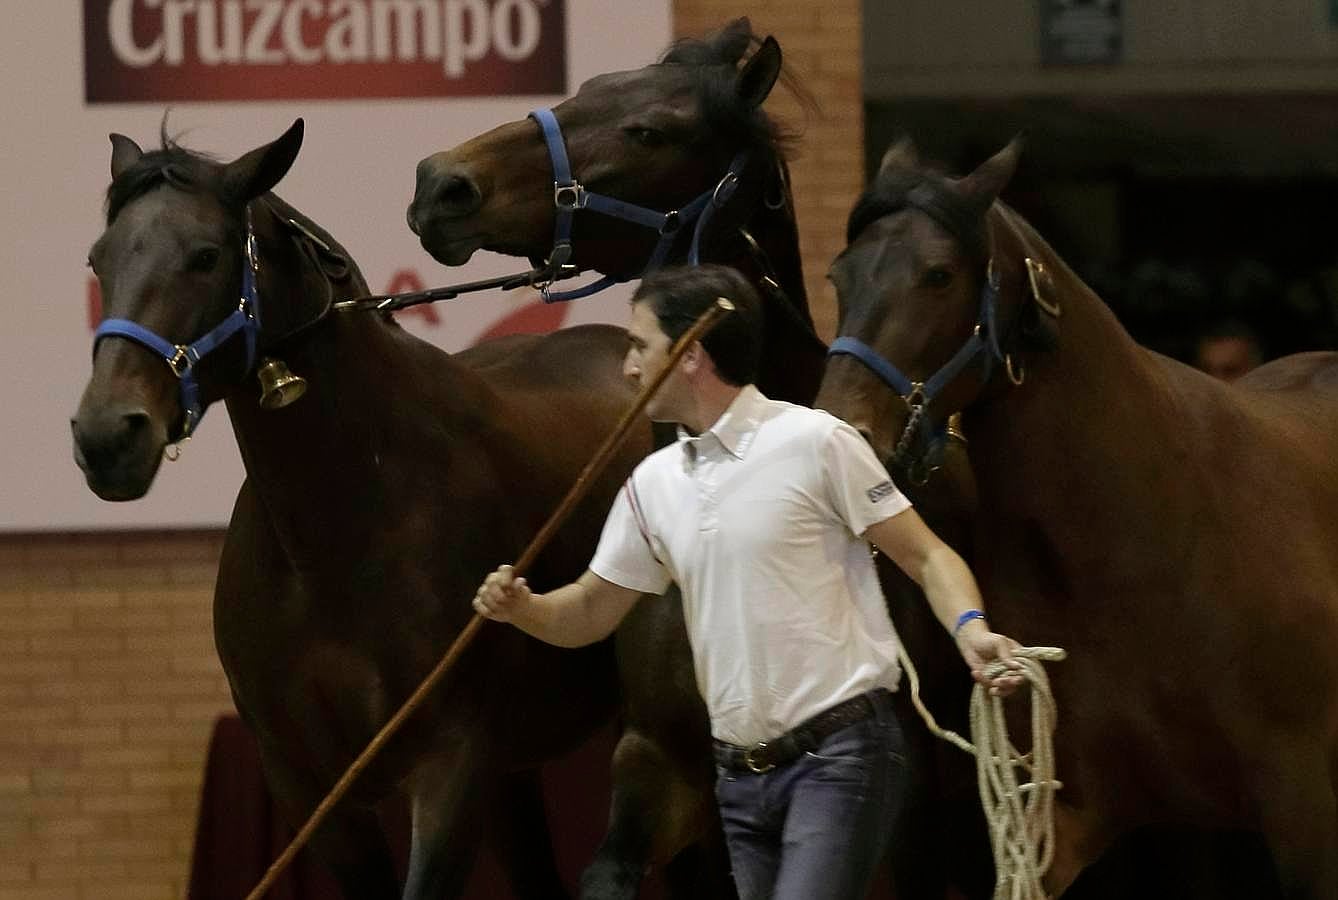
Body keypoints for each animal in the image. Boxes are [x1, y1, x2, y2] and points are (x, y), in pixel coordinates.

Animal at [70, 121, 650, 898]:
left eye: (205, 255)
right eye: (99, 259)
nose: (107, 437)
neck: (342, 537)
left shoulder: (450, 768)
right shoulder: (311, 792)